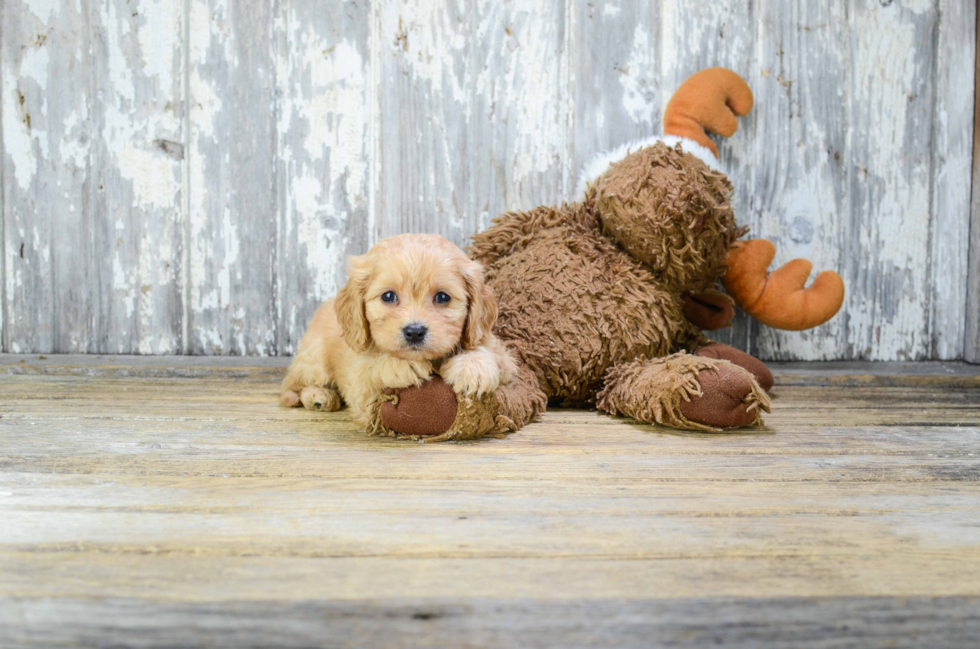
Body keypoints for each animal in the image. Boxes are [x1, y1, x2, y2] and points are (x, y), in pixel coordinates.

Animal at [280, 232, 516, 426]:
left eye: (442, 297)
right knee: (292, 387)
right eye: (388, 296)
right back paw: (319, 397)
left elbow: (490, 352)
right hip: (315, 360)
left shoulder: (503, 357)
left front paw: (472, 368)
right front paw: (400, 365)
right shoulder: (359, 389)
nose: (415, 332)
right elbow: (370, 369)